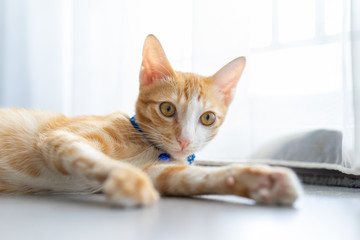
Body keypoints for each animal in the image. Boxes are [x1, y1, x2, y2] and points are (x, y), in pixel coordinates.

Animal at [0, 34, 302, 207]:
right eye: (167, 109)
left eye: (207, 118)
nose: (185, 141)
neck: (149, 145)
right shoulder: (60, 136)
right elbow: (90, 156)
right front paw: (127, 179)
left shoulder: (160, 172)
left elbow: (193, 178)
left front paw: (262, 181)